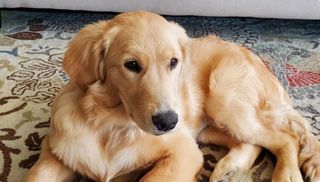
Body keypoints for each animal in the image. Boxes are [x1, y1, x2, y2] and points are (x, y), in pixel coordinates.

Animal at [25, 10, 320, 182]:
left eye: (173, 62)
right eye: (131, 65)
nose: (168, 121)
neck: (110, 125)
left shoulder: (183, 150)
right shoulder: (55, 152)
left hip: (223, 100)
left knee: (286, 137)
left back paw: (286, 175)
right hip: (207, 127)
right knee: (254, 141)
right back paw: (230, 168)